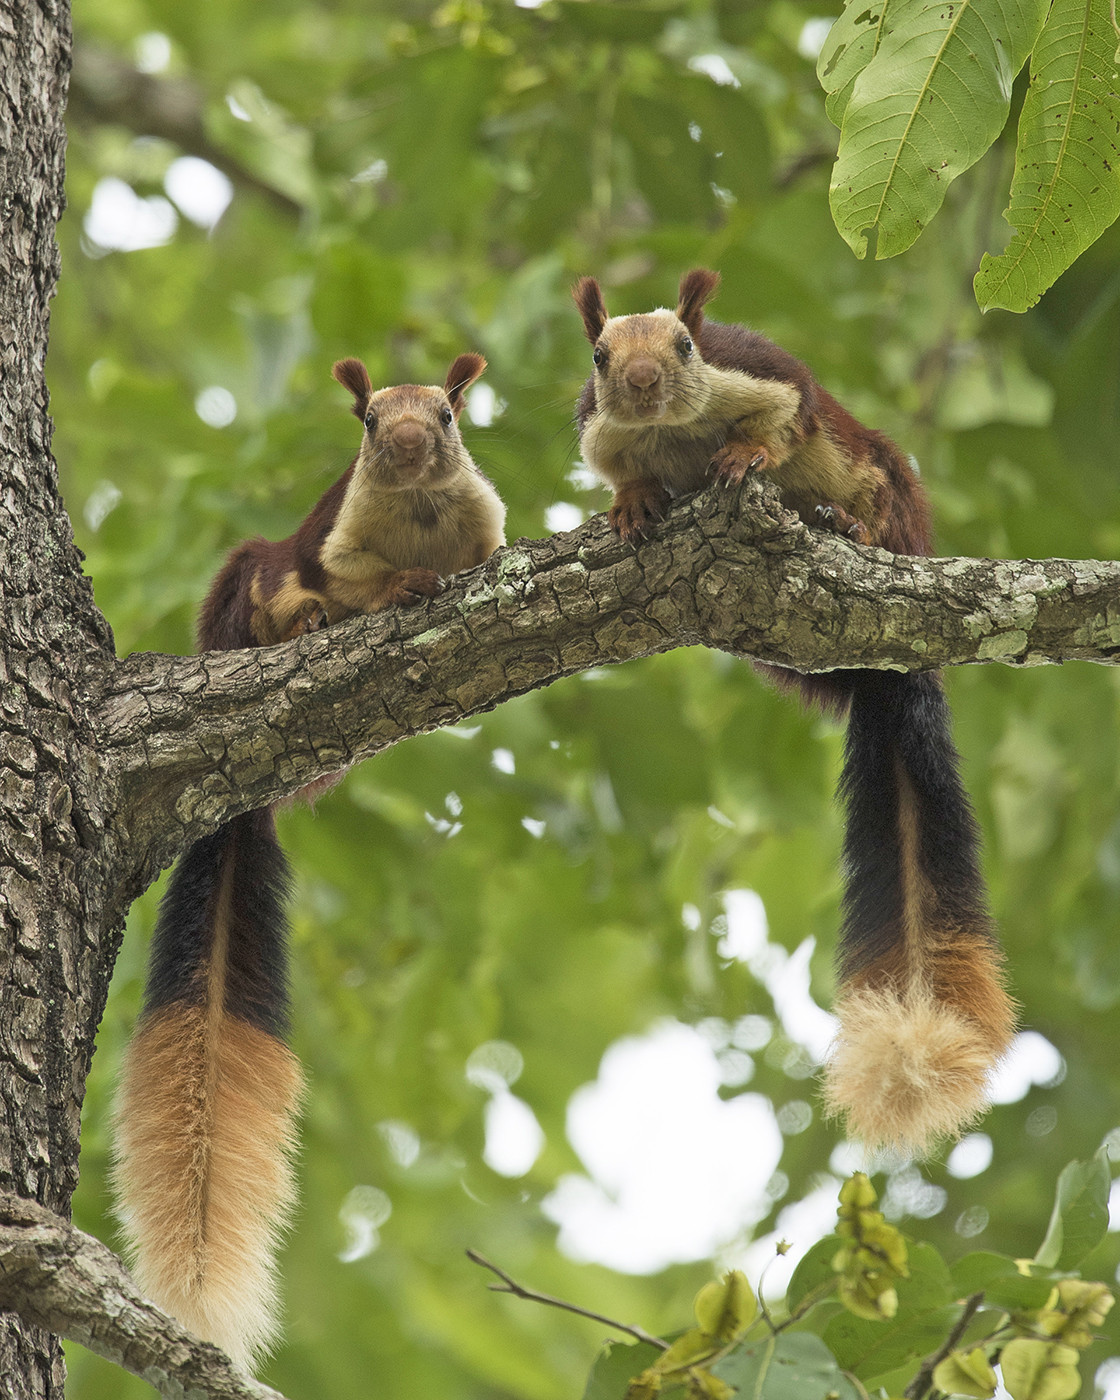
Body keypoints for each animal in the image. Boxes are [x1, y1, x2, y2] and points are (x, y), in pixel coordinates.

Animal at [112, 353, 505, 1370]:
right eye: (369, 418)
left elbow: (485, 555)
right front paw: (396, 592)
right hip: (247, 579)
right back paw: (298, 627)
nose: (403, 445)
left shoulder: (482, 518)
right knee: (273, 594)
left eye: (446, 413)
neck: (419, 517)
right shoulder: (335, 539)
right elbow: (358, 579)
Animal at [573, 268, 1016, 1157]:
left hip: (889, 488)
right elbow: (619, 473)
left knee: (873, 500)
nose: (639, 382)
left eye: (686, 345)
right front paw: (634, 500)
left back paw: (850, 525)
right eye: (600, 355)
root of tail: (886, 672)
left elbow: (789, 419)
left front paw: (745, 453)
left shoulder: (766, 376)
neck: (674, 429)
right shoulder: (596, 431)